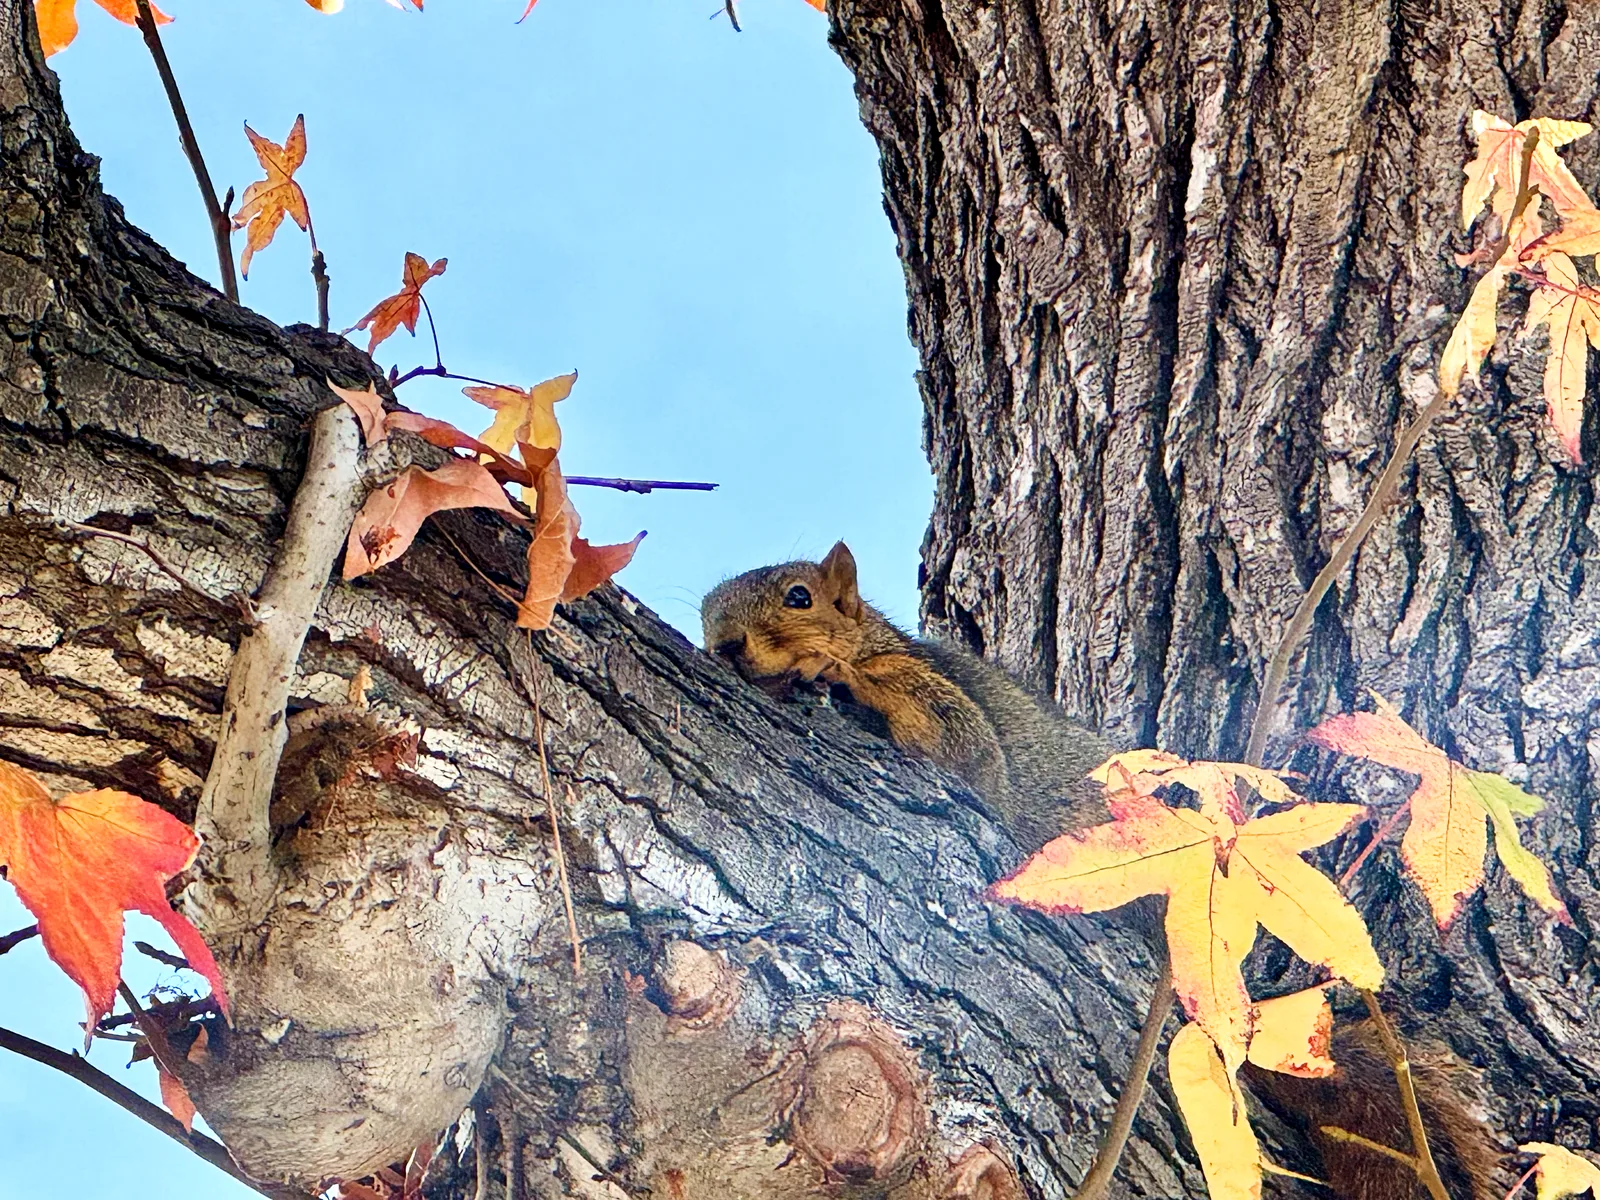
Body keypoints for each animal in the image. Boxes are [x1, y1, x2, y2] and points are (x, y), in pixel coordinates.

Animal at [700, 540, 1110, 848]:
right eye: (703, 614)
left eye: (800, 597)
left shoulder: (917, 677)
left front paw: (837, 671)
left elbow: (963, 744)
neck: (869, 649)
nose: (725, 644)